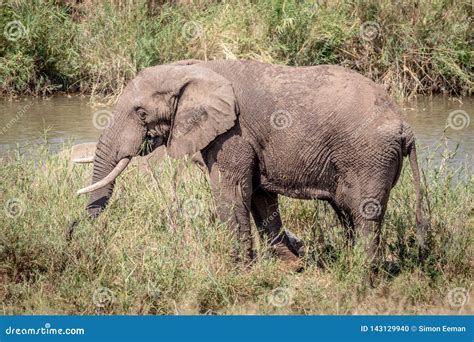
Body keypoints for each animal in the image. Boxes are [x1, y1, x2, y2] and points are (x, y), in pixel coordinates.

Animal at [77, 59, 426, 270]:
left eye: (140, 113)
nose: (73, 234)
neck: (194, 69)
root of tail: (405, 125)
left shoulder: (233, 133)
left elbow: (230, 193)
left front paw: (237, 269)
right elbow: (260, 197)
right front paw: (290, 266)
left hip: (368, 156)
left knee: (364, 212)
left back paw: (361, 275)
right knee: (346, 211)